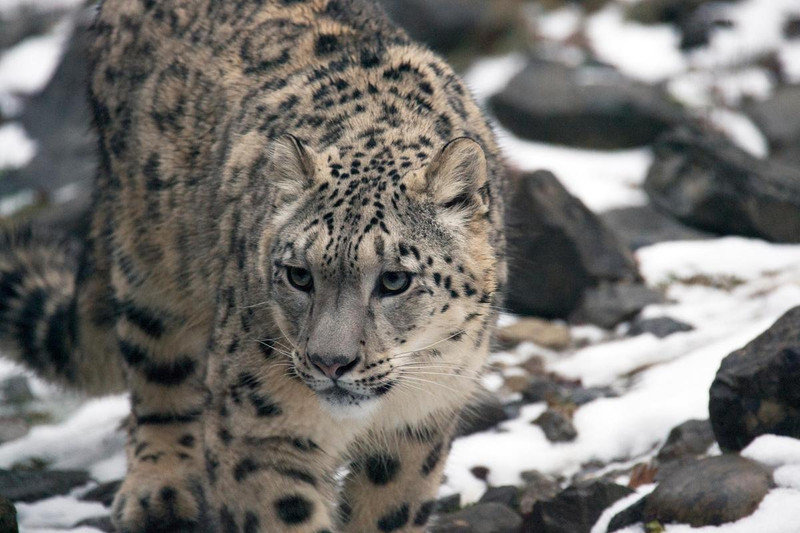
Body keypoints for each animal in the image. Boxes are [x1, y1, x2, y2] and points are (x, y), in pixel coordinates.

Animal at [0, 0, 506, 531]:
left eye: (394, 280)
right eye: (299, 275)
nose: (331, 362)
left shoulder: (419, 423)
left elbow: (388, 510)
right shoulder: (257, 428)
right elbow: (282, 512)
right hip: (153, 264)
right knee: (157, 369)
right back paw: (160, 492)